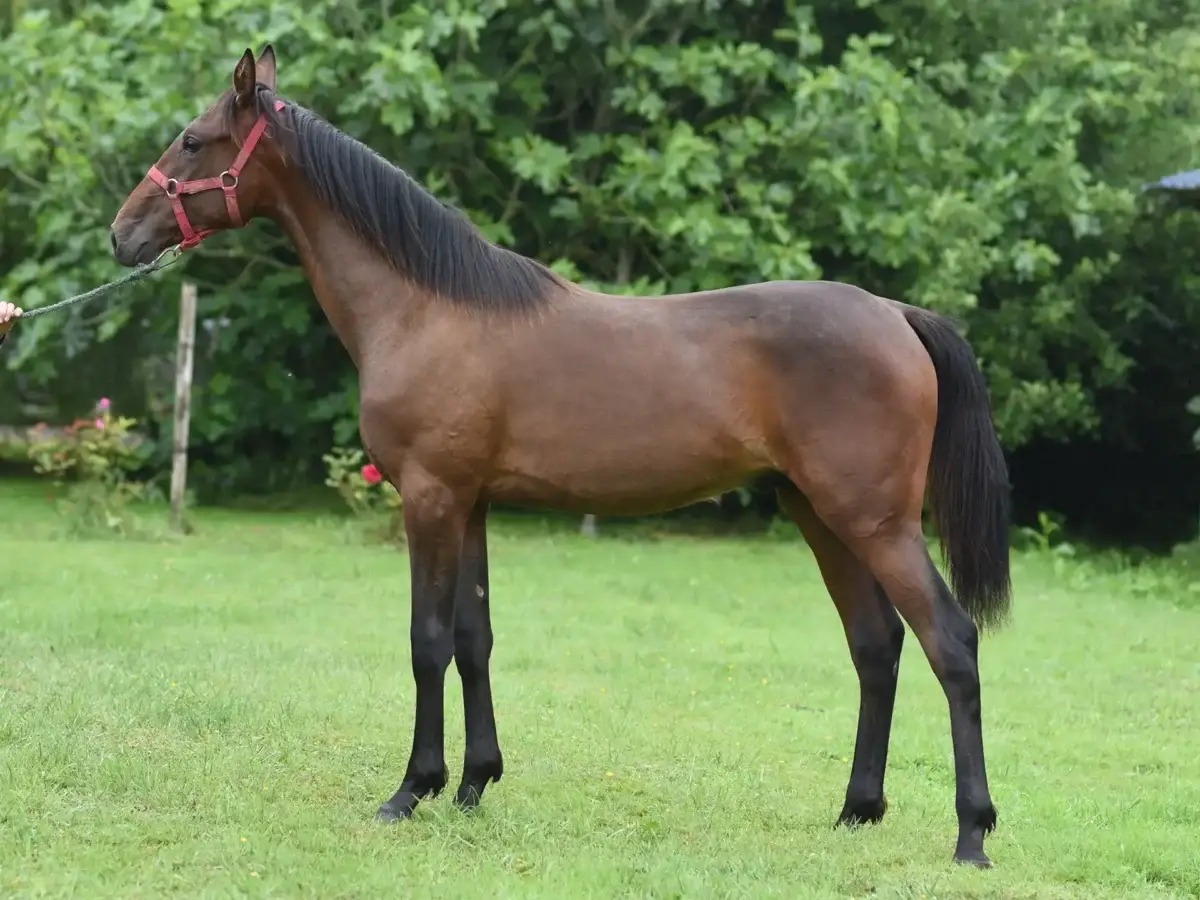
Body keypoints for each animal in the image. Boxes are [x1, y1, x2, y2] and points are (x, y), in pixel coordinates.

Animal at [109, 45, 1012, 867]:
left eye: (192, 140)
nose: (121, 234)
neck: (424, 307)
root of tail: (895, 314)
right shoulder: (469, 501)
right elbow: (473, 637)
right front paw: (475, 783)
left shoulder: (429, 497)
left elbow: (426, 640)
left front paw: (412, 790)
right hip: (821, 515)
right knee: (876, 646)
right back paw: (857, 811)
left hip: (875, 522)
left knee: (951, 643)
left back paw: (971, 835)